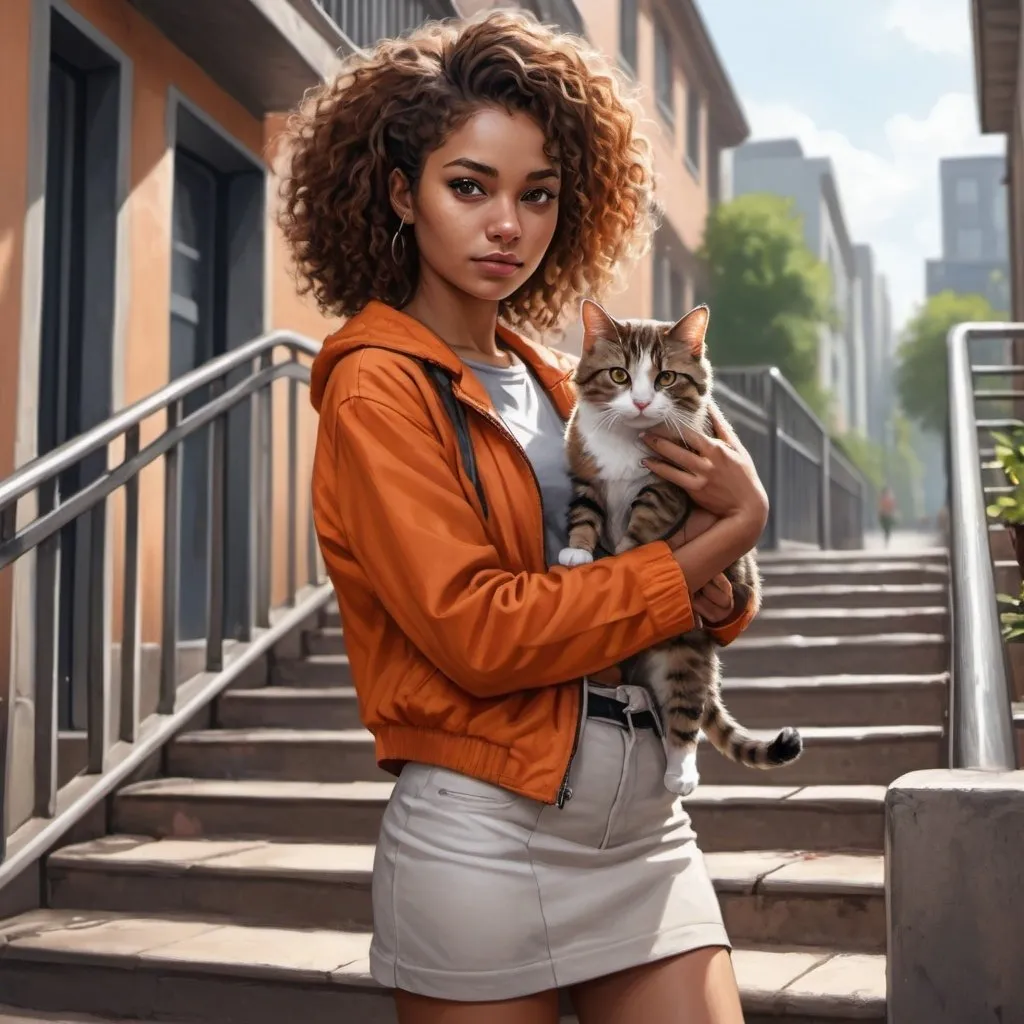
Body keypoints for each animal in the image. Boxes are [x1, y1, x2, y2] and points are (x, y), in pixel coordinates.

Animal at [561, 299, 798, 794]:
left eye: (666, 378)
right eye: (619, 375)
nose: (641, 401)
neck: (627, 442)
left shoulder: (671, 485)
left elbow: (643, 524)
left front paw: (625, 556)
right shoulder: (585, 470)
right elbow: (585, 511)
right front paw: (578, 550)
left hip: (686, 650)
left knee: (684, 706)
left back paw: (680, 770)